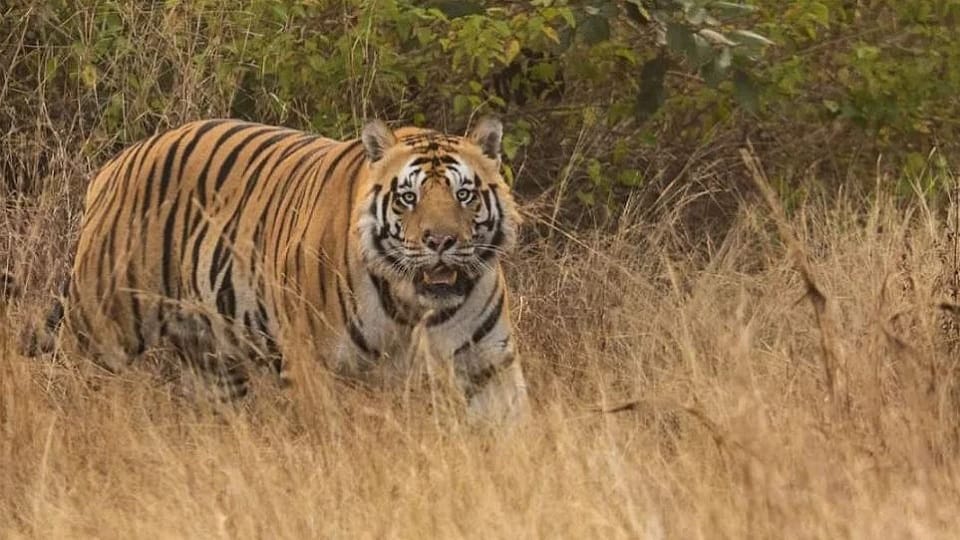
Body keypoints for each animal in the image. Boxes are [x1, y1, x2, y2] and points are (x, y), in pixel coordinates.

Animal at [22, 117, 529, 424]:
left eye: (464, 195)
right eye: (409, 197)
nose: (441, 242)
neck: (410, 304)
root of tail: (116, 163)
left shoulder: (488, 363)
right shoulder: (312, 365)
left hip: (211, 360)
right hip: (103, 328)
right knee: (75, 384)